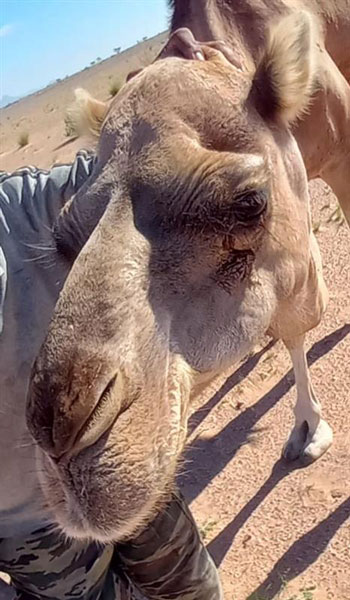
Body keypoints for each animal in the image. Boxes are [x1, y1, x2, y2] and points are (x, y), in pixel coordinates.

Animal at [21, 2, 350, 544]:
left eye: (248, 202)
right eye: (64, 241)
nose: (61, 429)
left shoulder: (340, 156)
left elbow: (297, 320)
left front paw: (308, 430)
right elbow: (287, 325)